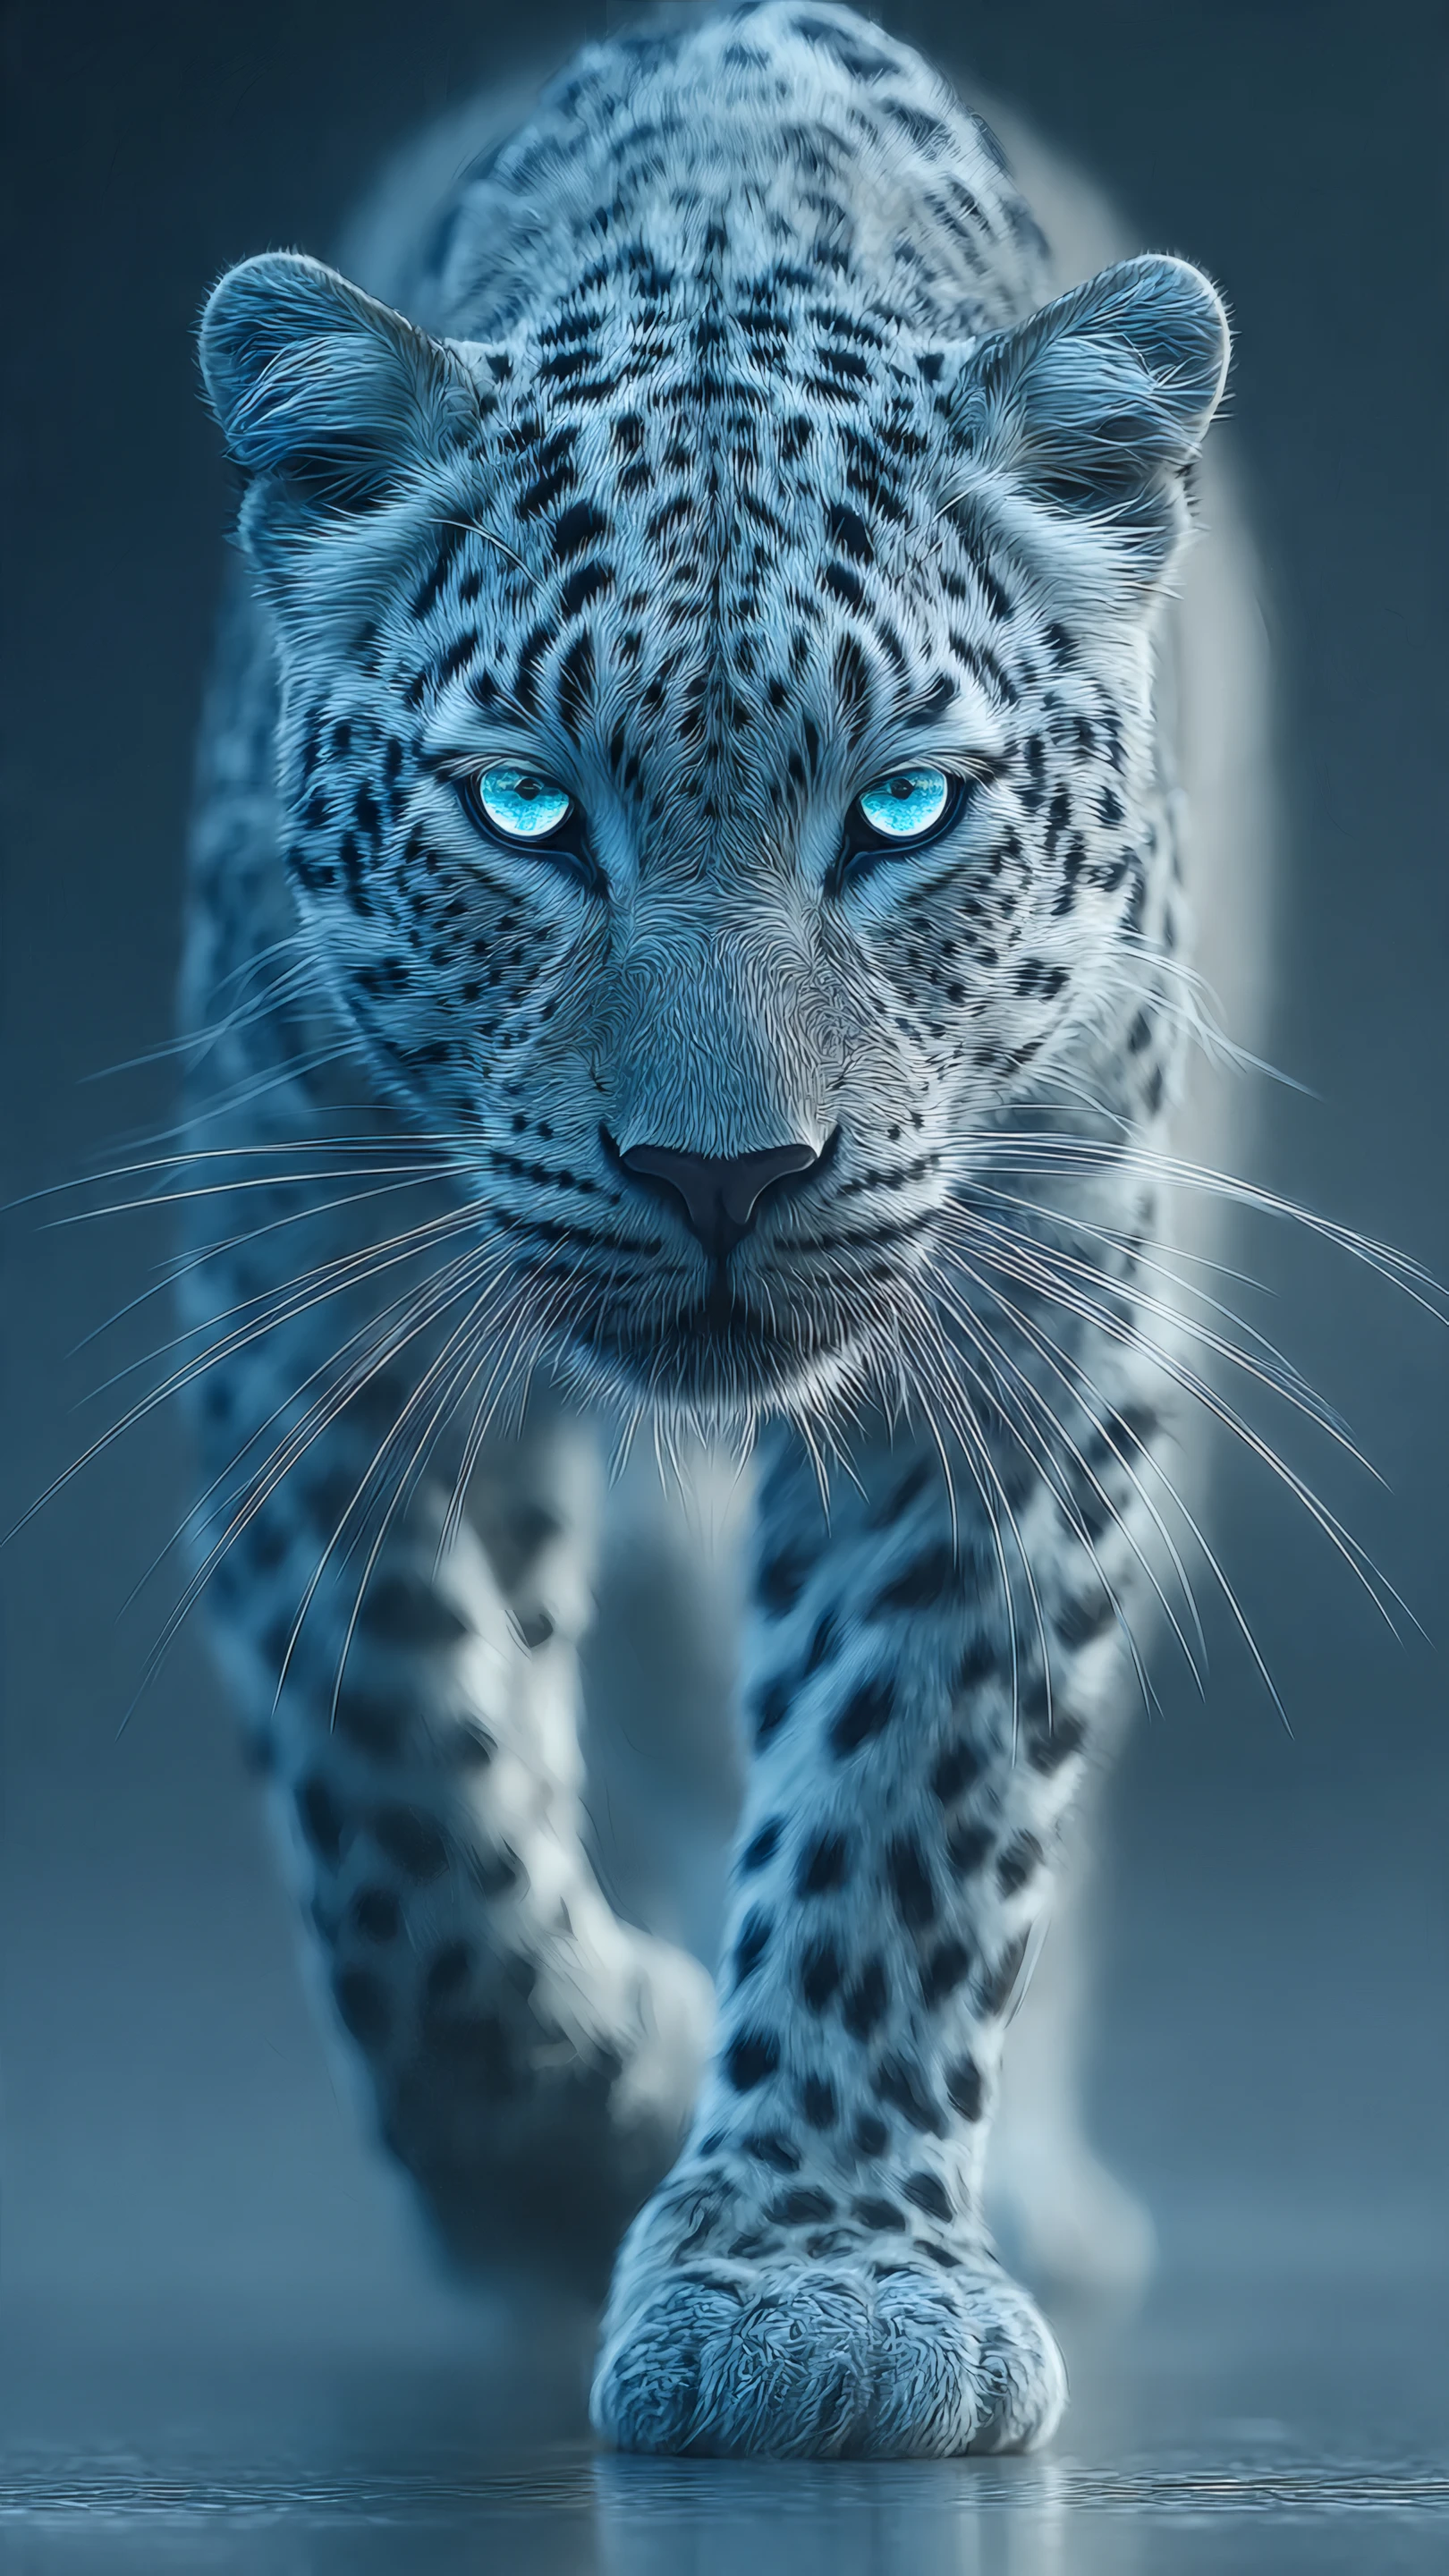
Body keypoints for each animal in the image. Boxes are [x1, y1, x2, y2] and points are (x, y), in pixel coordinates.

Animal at [181, 0, 1265, 2457]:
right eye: (521, 810)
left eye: (902, 811)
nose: (722, 1177)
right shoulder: (301, 1285)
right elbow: (399, 1771)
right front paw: (557, 2145)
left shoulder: (1029, 1313)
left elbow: (913, 1789)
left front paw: (821, 2285)